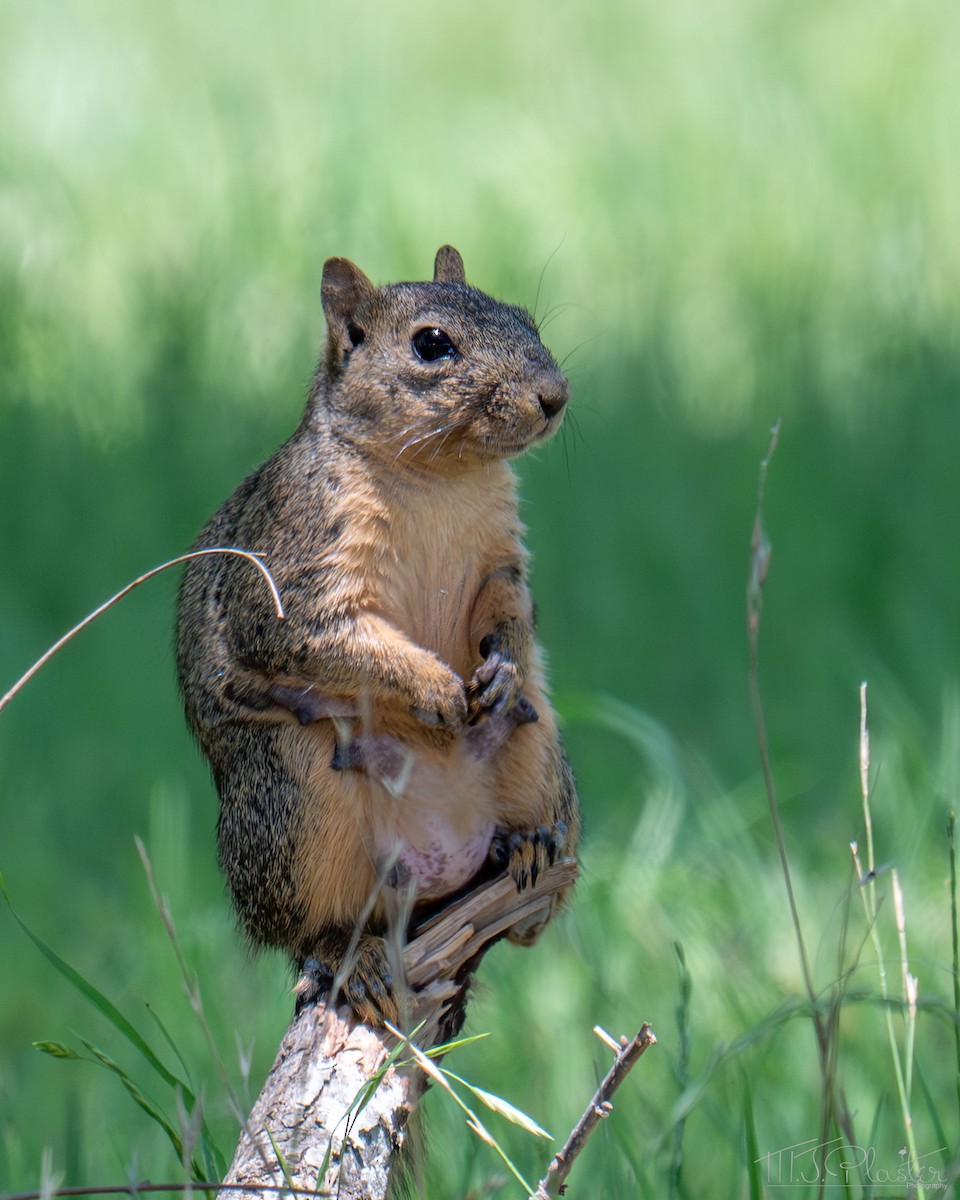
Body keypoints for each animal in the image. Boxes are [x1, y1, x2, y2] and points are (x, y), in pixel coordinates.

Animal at [176, 246, 580, 1026]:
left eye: (526, 317)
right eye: (431, 344)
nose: (555, 395)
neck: (439, 477)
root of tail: (438, 859)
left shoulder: (500, 560)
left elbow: (509, 605)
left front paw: (502, 665)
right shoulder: (292, 569)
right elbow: (321, 637)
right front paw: (434, 688)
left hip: (539, 750)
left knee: (528, 907)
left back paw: (527, 852)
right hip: (294, 800)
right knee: (305, 931)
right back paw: (348, 954)